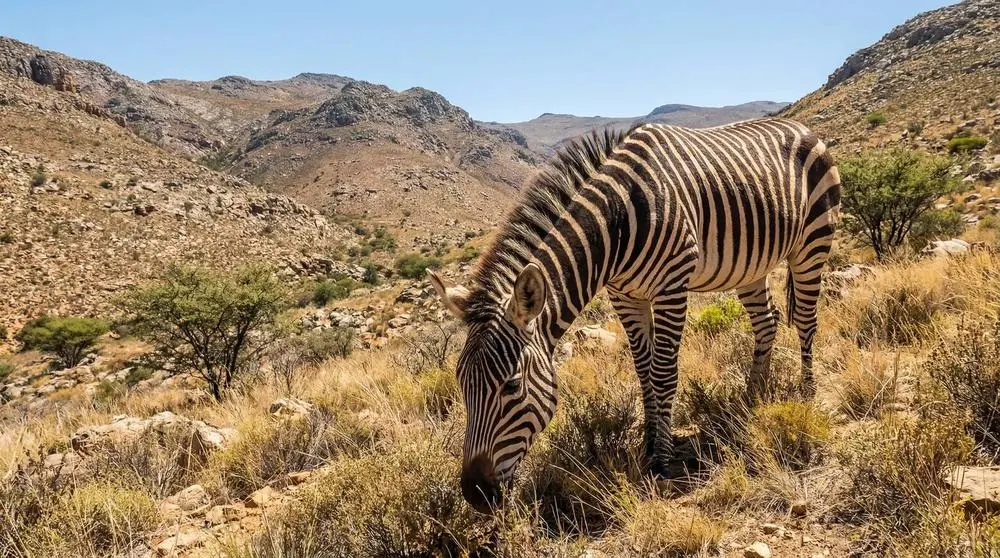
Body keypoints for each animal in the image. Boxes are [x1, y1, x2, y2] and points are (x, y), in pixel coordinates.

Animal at [427, 118, 841, 513]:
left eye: (512, 386)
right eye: (461, 384)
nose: (475, 494)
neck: (617, 222)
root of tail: (803, 127)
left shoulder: (672, 286)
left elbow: (663, 373)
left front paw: (662, 460)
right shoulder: (624, 295)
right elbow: (643, 372)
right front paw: (647, 443)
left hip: (812, 243)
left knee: (806, 320)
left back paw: (806, 391)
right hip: (751, 265)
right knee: (767, 321)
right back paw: (752, 396)